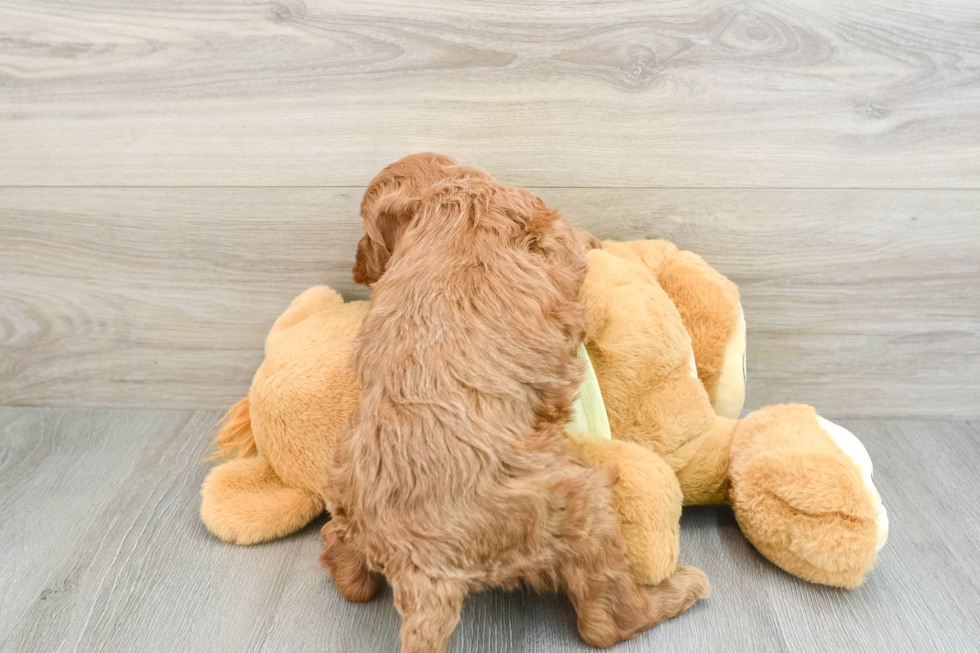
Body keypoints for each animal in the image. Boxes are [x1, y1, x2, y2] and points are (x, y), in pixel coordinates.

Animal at [326, 154, 708, 652]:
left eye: (367, 234)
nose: (356, 270)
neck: (449, 195)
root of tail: (419, 565)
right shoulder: (555, 230)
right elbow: (582, 242)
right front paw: (600, 241)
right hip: (579, 506)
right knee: (606, 621)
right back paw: (679, 590)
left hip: (343, 478)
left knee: (345, 565)